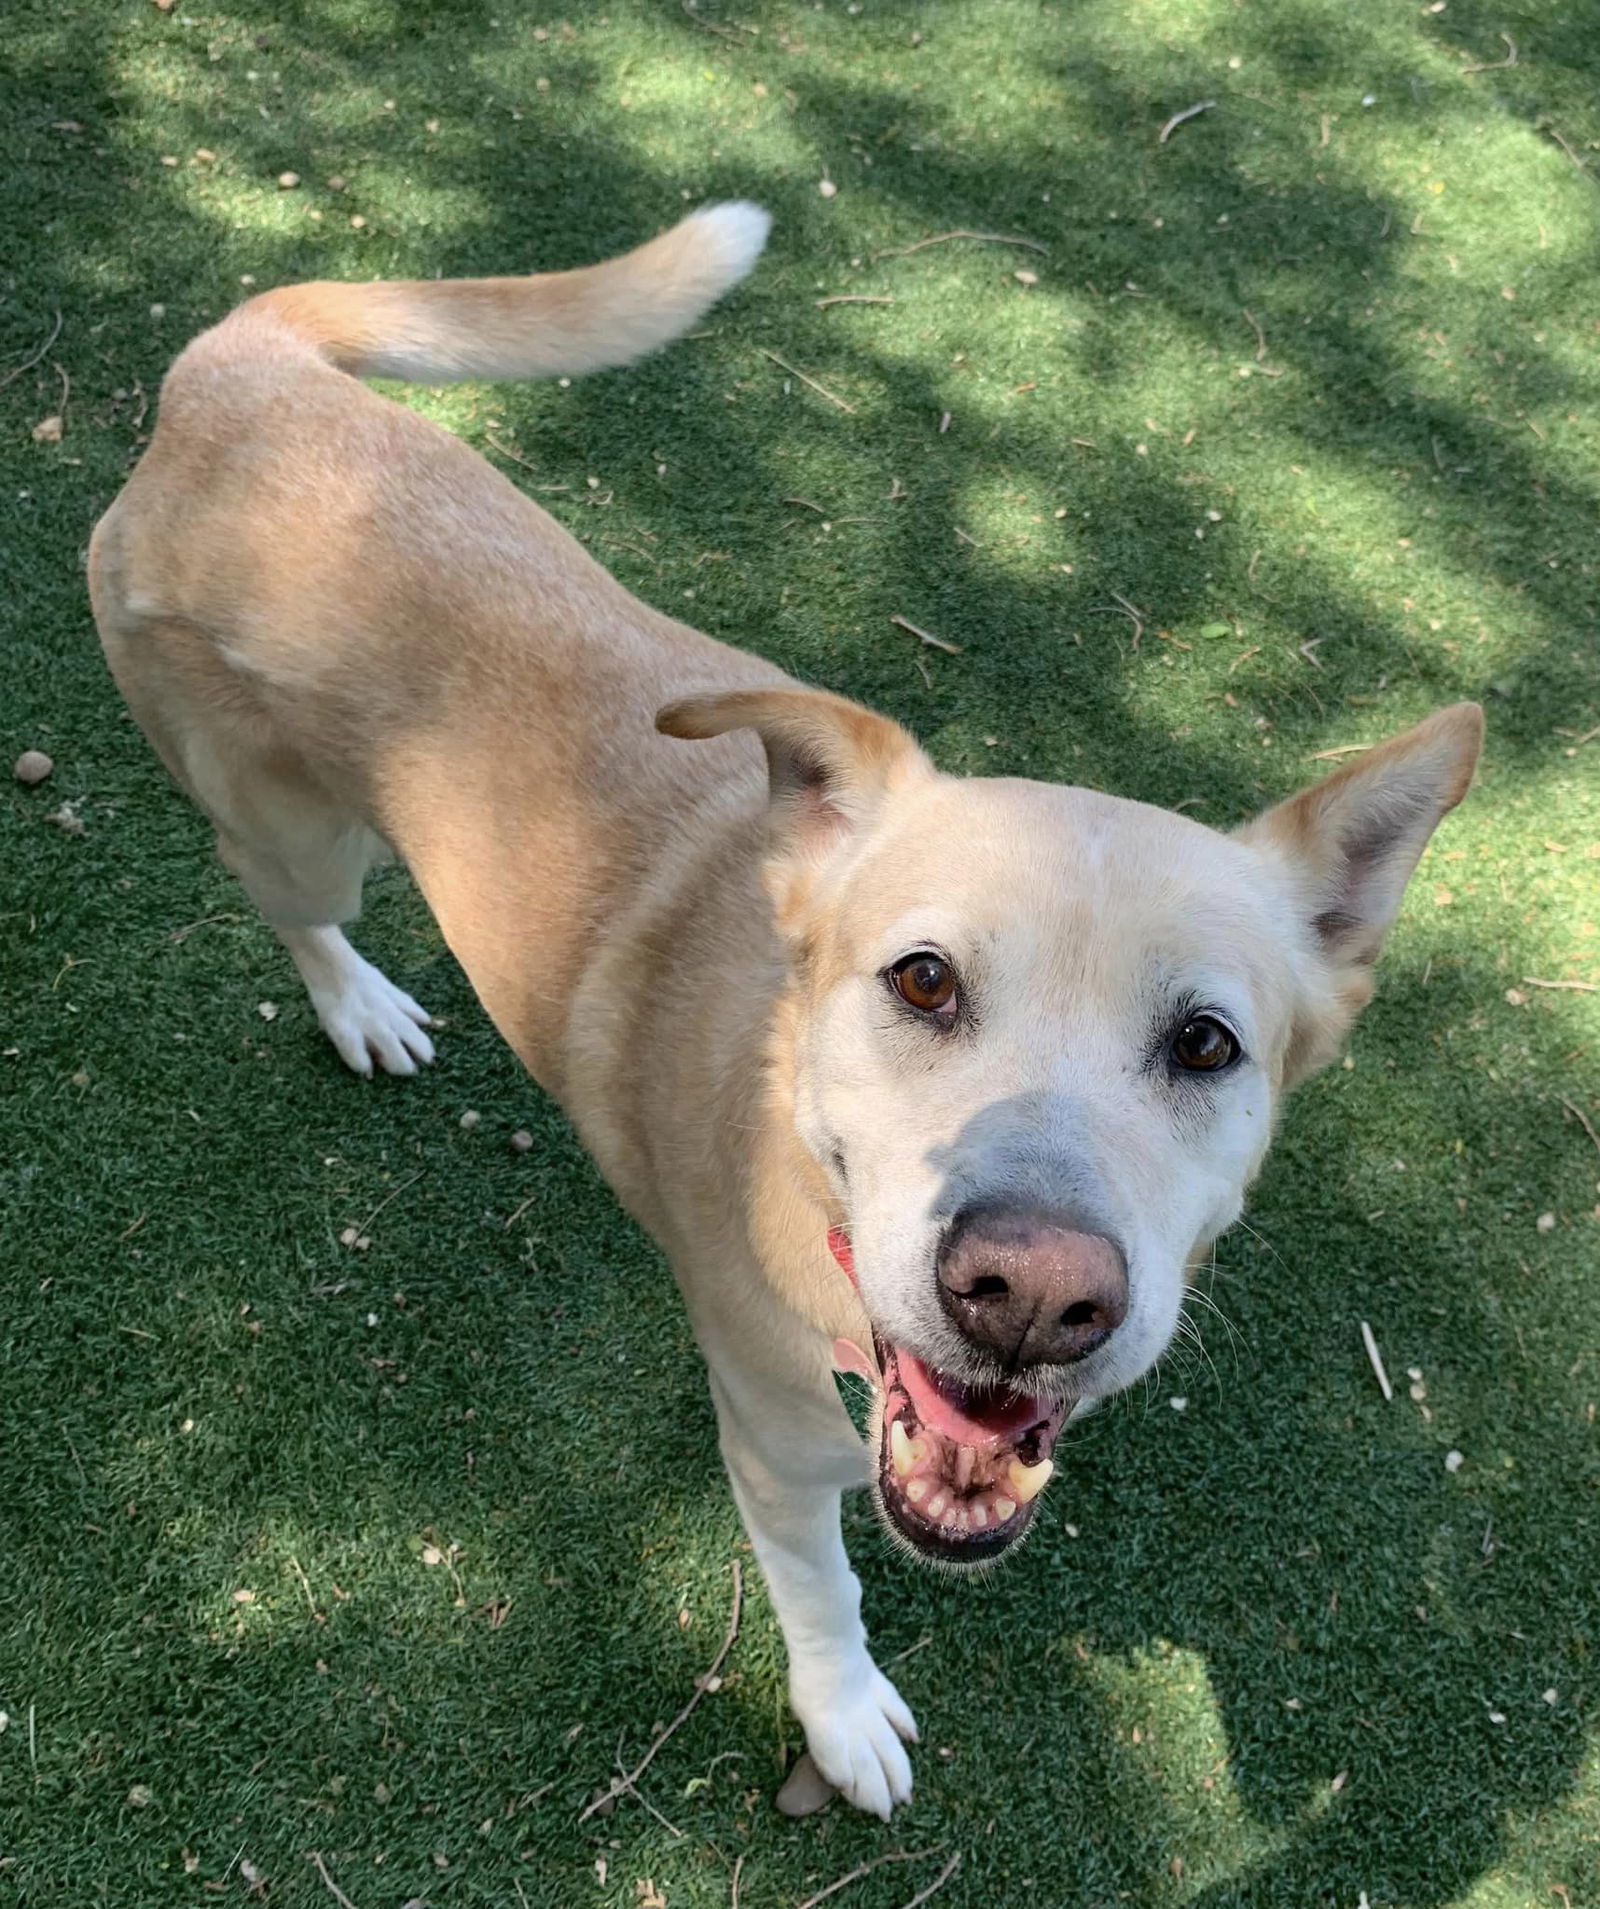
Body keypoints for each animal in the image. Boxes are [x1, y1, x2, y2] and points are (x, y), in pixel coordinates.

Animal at [90, 205, 1489, 1817]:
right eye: (923, 978)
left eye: (1206, 1042)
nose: (1032, 1296)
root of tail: (232, 368)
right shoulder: (772, 1439)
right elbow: (825, 1586)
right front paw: (841, 1712)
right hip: (292, 826)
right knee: (292, 904)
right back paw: (359, 1002)